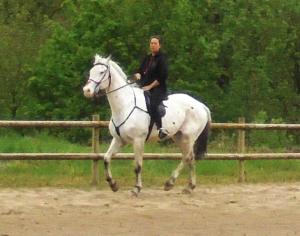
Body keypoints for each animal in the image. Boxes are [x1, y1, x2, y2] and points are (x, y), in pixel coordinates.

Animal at [82, 54, 211, 195]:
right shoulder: (118, 140)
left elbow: (138, 166)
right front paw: (113, 184)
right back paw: (188, 186)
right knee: (189, 158)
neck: (124, 105)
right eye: (91, 71)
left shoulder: (138, 140)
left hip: (188, 138)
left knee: (187, 157)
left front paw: (136, 188)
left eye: (102, 72)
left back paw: (171, 183)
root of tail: (201, 105)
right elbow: (106, 159)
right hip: (178, 136)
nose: (87, 91)